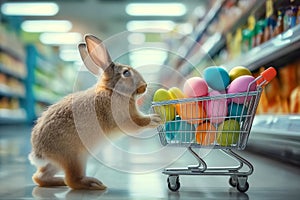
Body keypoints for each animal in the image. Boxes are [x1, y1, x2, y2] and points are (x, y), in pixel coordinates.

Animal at [28, 34, 162, 191]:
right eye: (126, 73)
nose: (145, 86)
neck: (112, 91)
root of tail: (39, 153)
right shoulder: (124, 119)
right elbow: (138, 123)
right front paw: (155, 119)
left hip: (59, 163)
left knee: (39, 177)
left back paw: (59, 181)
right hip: (75, 157)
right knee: (72, 181)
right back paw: (93, 184)